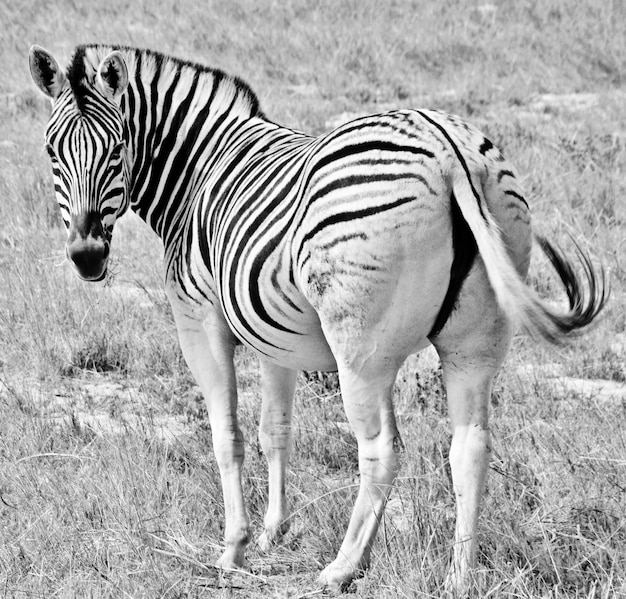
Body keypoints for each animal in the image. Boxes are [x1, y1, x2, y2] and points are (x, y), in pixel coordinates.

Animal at [28, 44, 604, 592]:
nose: (86, 258)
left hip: (362, 349)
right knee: (470, 449)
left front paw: (233, 549)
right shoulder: (271, 336)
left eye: (116, 150)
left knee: (381, 450)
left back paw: (342, 568)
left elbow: (227, 436)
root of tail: (446, 148)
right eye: (53, 152)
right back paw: (458, 577)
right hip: (475, 342)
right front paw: (272, 532)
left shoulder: (200, 319)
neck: (196, 172)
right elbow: (274, 430)